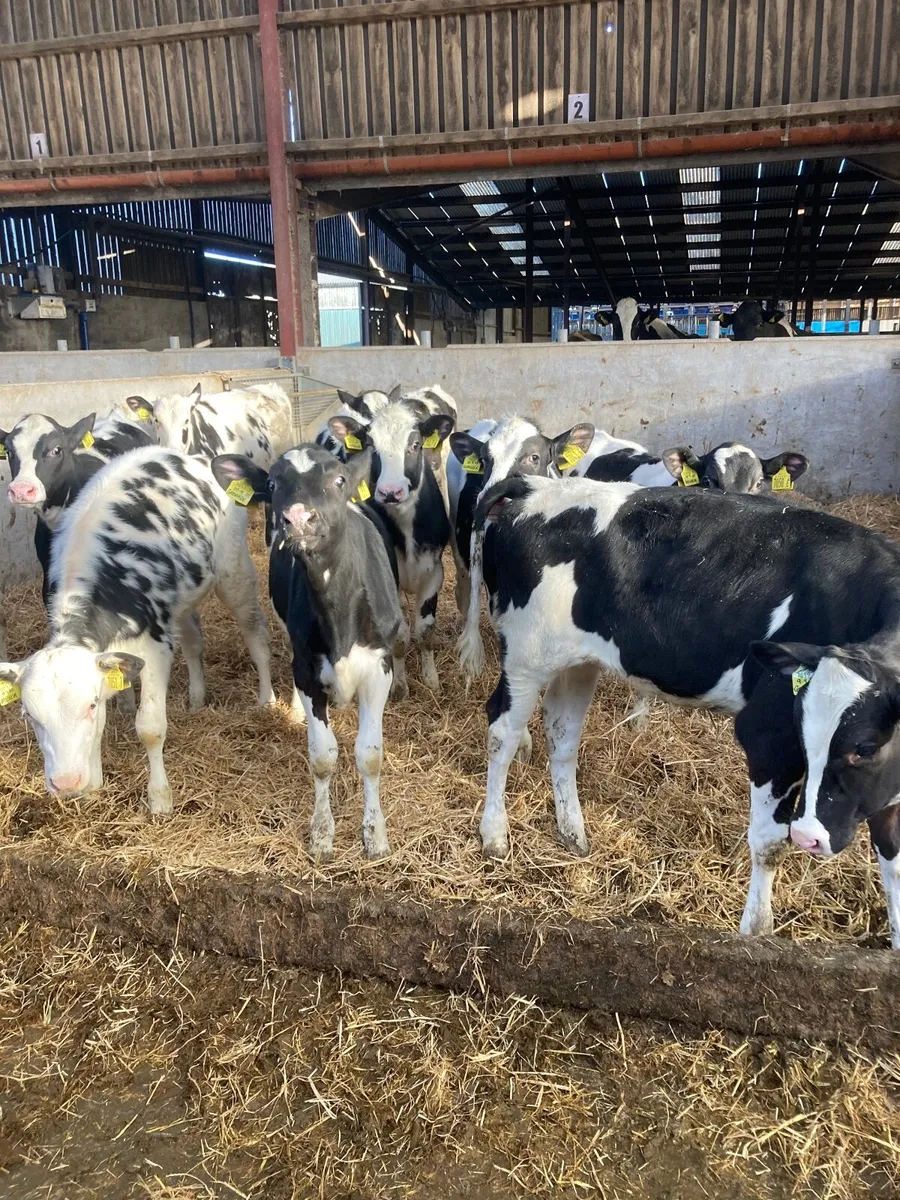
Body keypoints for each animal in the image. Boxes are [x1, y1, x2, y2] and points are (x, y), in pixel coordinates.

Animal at [0, 447, 274, 816]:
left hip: (234, 571)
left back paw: (267, 699)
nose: (65, 783)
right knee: (193, 641)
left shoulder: (155, 650)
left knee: (255, 632)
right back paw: (196, 698)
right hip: (181, 597)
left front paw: (160, 798)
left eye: (89, 705)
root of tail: (195, 457)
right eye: (29, 715)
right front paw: (92, 786)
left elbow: (150, 729)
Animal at [211, 444, 405, 860]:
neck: (339, 619)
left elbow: (370, 754)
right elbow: (322, 757)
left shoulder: (378, 667)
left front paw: (375, 836)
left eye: (339, 480)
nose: (298, 517)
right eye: (271, 484)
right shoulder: (306, 669)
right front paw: (320, 835)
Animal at [325, 400, 454, 696]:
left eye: (415, 444)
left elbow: (425, 632)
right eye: (372, 445)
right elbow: (399, 636)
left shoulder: (434, 572)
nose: (390, 492)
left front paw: (431, 680)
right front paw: (399, 685)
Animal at [468, 473, 900, 948]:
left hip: (578, 660)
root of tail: (533, 485)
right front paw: (756, 934)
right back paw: (494, 835)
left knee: (562, 732)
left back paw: (573, 831)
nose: (812, 838)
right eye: (804, 734)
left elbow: (893, 858)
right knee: (503, 732)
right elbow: (770, 843)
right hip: (526, 656)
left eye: (866, 747)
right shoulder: (769, 735)